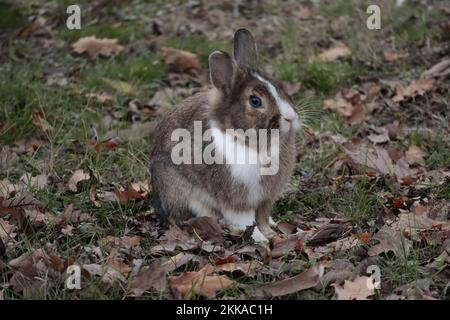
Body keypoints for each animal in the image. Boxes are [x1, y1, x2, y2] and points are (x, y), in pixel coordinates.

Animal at [149, 28, 300, 241]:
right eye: (255, 101)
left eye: (280, 87)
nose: (290, 117)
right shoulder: (238, 200)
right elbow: (246, 220)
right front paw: (262, 239)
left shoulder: (265, 200)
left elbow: (262, 217)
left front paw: (271, 231)